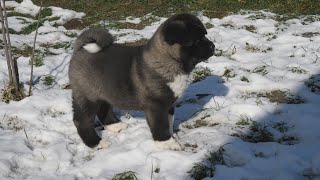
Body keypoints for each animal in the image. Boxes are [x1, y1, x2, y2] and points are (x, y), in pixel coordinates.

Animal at [69, 13, 215, 149]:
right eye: (197, 40)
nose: (213, 46)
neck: (169, 61)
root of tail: (81, 48)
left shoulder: (169, 103)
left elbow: (169, 121)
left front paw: (171, 136)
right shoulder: (156, 105)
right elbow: (161, 125)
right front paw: (167, 143)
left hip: (103, 91)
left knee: (103, 109)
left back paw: (115, 125)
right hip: (88, 96)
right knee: (82, 121)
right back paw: (96, 143)